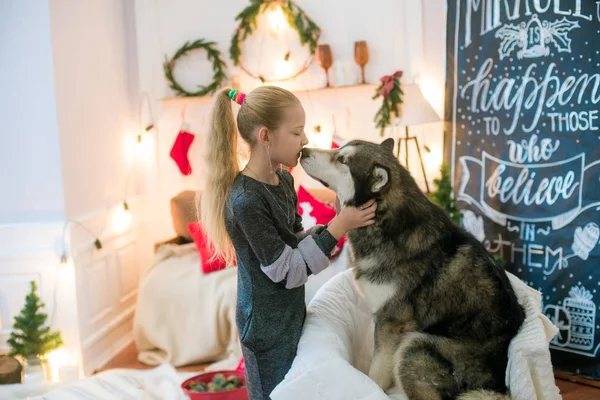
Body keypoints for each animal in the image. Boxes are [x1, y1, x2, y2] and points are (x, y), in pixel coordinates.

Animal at [302, 138, 524, 400]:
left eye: (342, 160)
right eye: (339, 150)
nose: (303, 151)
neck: (387, 224)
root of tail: (496, 386)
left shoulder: (392, 322)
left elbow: (376, 371)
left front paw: (371, 387)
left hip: (414, 346)